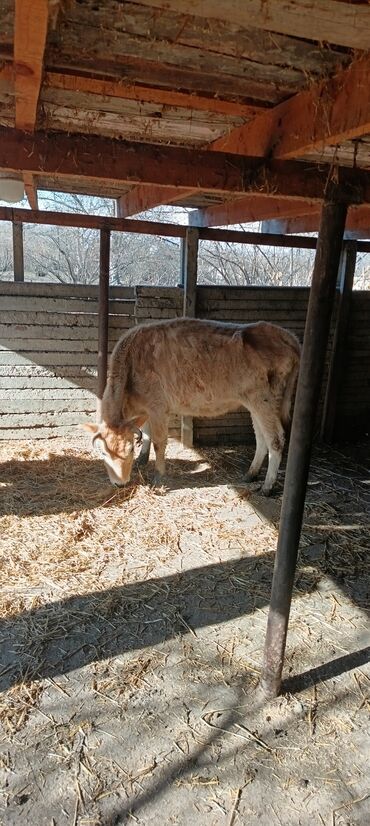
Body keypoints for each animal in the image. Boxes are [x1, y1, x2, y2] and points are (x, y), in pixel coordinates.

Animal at [84, 318, 300, 492]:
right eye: (103, 452)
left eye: (129, 449)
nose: (120, 483)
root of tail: (286, 335)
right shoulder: (144, 408)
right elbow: (145, 432)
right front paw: (142, 459)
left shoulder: (158, 407)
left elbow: (159, 442)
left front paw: (158, 477)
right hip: (254, 403)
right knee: (261, 438)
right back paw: (251, 474)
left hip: (264, 400)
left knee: (275, 439)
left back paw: (267, 486)